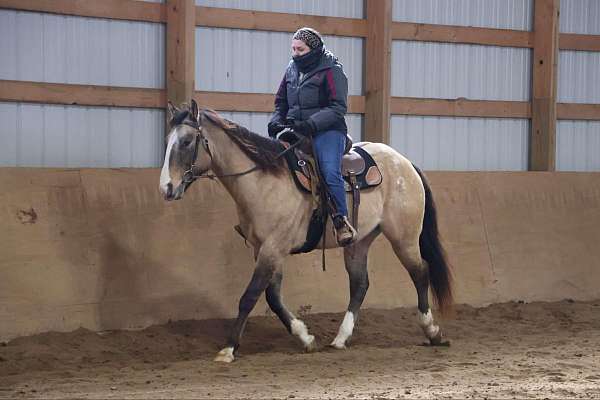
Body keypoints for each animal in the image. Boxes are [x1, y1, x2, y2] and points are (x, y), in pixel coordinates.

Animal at [158, 100, 450, 362]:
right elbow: (273, 297)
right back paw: (341, 338)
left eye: (186, 141)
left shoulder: (273, 247)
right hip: (359, 241)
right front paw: (306, 337)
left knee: (420, 273)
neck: (263, 180)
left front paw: (228, 348)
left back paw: (432, 331)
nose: (166, 188)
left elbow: (250, 296)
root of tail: (405, 163)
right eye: (168, 140)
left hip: (404, 237)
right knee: (360, 283)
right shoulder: (264, 249)